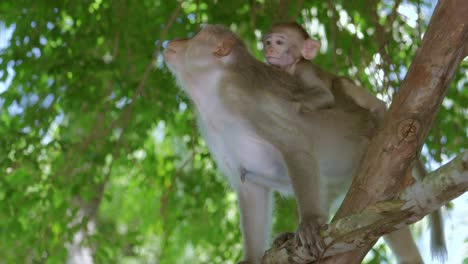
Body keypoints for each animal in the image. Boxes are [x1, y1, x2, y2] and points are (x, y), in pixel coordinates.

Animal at [165, 25, 424, 264]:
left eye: (196, 35)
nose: (175, 40)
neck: (212, 90)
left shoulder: (241, 97)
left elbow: (295, 145)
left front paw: (309, 221)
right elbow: (250, 187)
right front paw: (250, 258)